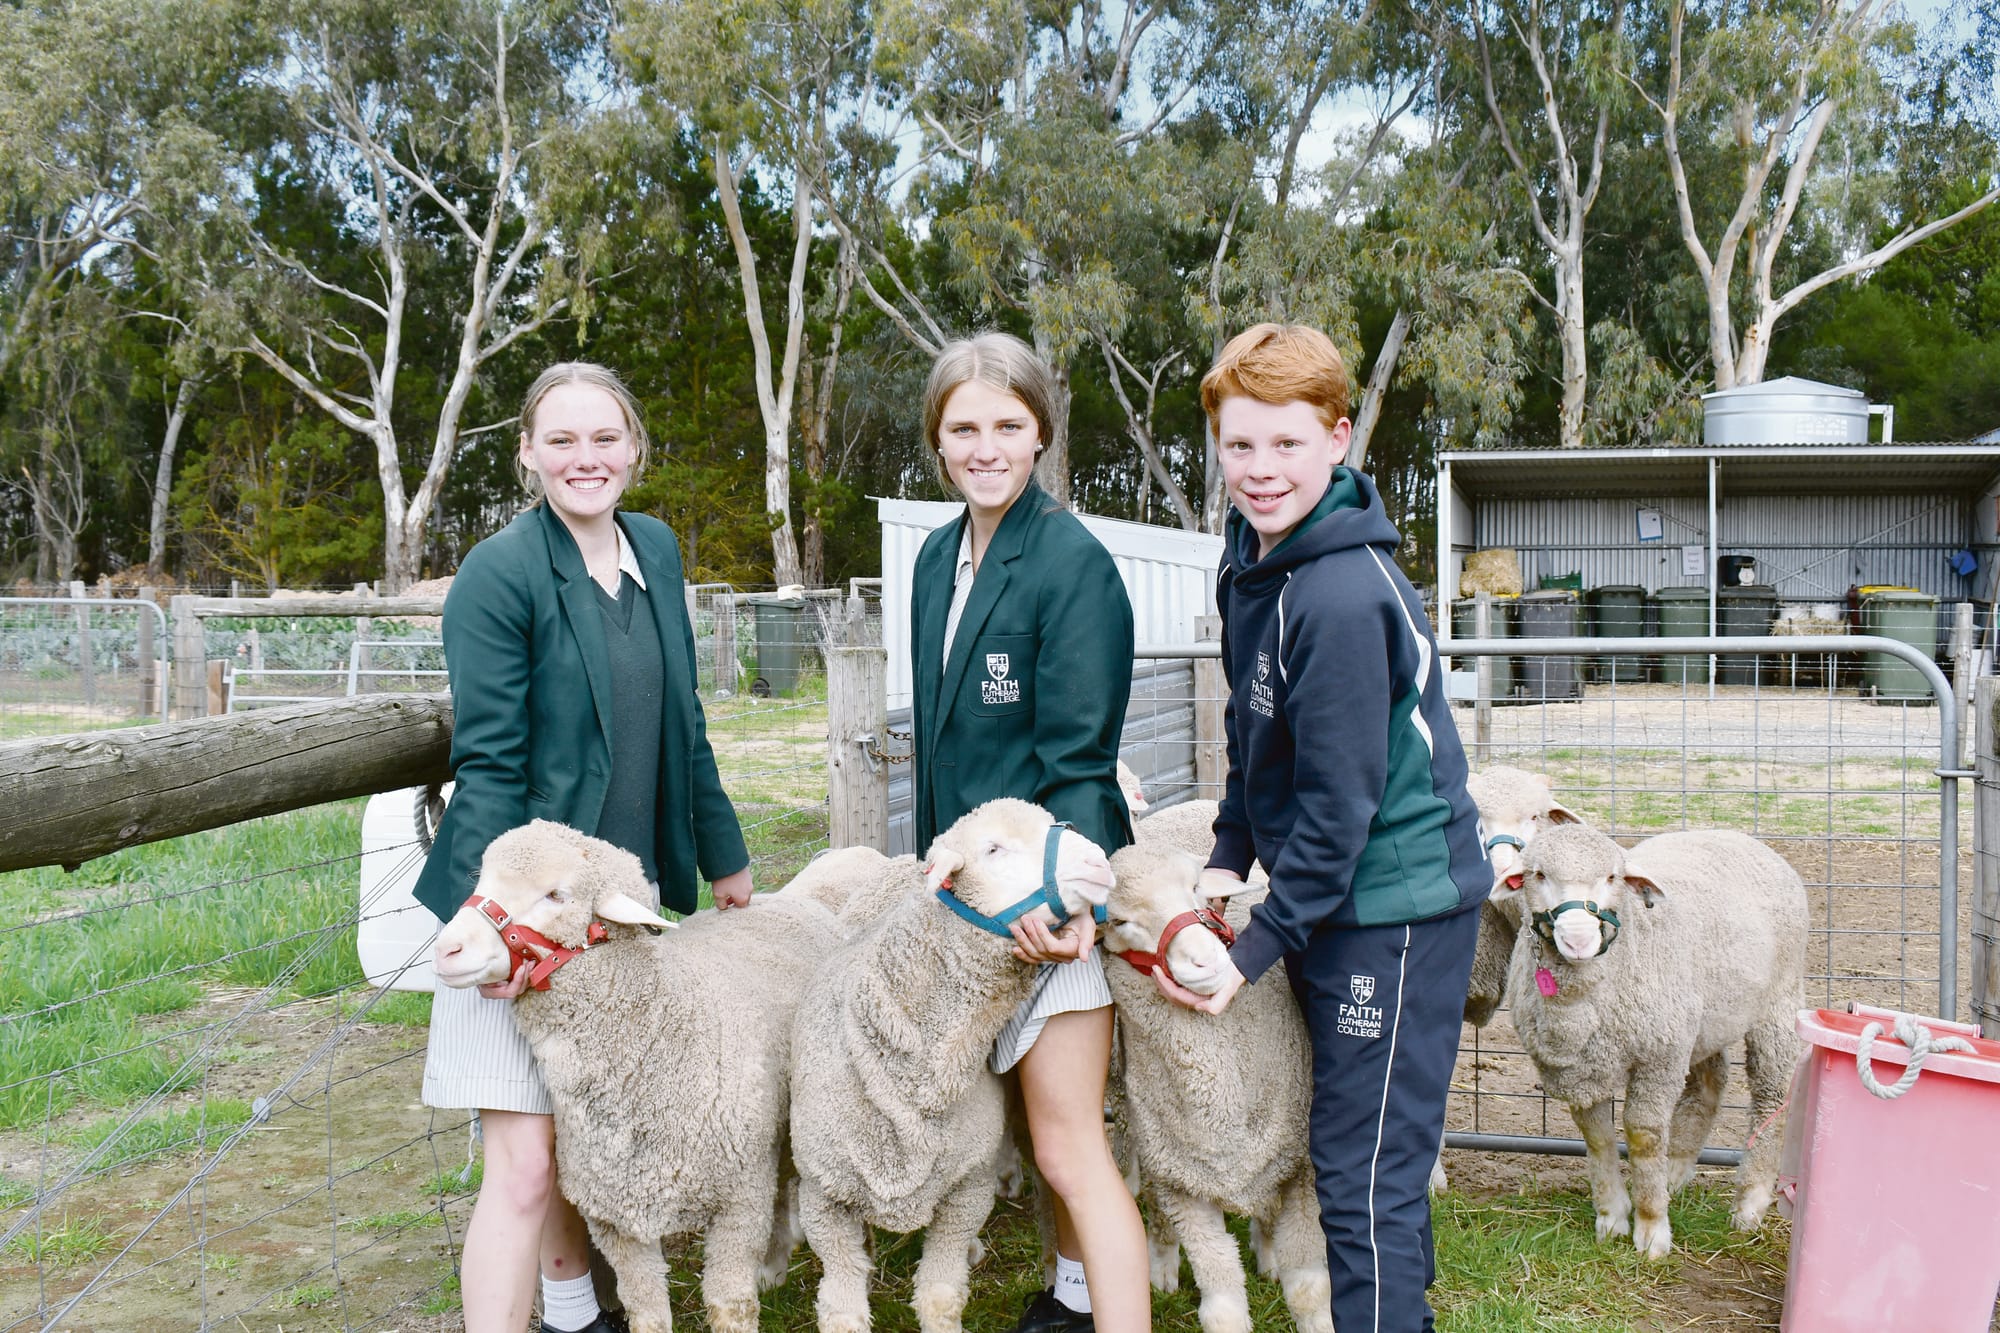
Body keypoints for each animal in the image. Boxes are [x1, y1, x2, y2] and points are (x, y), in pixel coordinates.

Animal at [430, 820, 840, 1333]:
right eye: (481, 878)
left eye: (556, 895)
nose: (446, 950)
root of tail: (783, 898)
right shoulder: (614, 1219)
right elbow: (647, 1311)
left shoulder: (740, 1196)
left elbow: (731, 1305)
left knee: (785, 1181)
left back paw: (774, 1259)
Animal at [788, 798, 1115, 1333]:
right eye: (993, 849)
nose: (1099, 862)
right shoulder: (824, 1197)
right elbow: (843, 1308)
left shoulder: (966, 1188)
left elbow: (940, 1295)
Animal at [1098, 844, 1330, 1333]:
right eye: (1120, 921)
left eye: (1195, 891)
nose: (1207, 963)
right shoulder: (1182, 1182)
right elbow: (1222, 1306)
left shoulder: (1302, 1169)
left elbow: (1308, 1290)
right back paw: (1162, 1263)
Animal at [1501, 823, 1805, 1258]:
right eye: (1538, 874)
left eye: (1612, 877)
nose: (1577, 939)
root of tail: (1735, 833)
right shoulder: (1583, 1069)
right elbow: (1597, 1137)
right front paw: (1612, 1216)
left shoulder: (1659, 1056)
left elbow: (1642, 1135)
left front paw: (1650, 1230)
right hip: (1699, 1021)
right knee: (1708, 1086)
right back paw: (1674, 1172)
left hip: (1778, 999)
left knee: (1772, 1094)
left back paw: (1749, 1204)